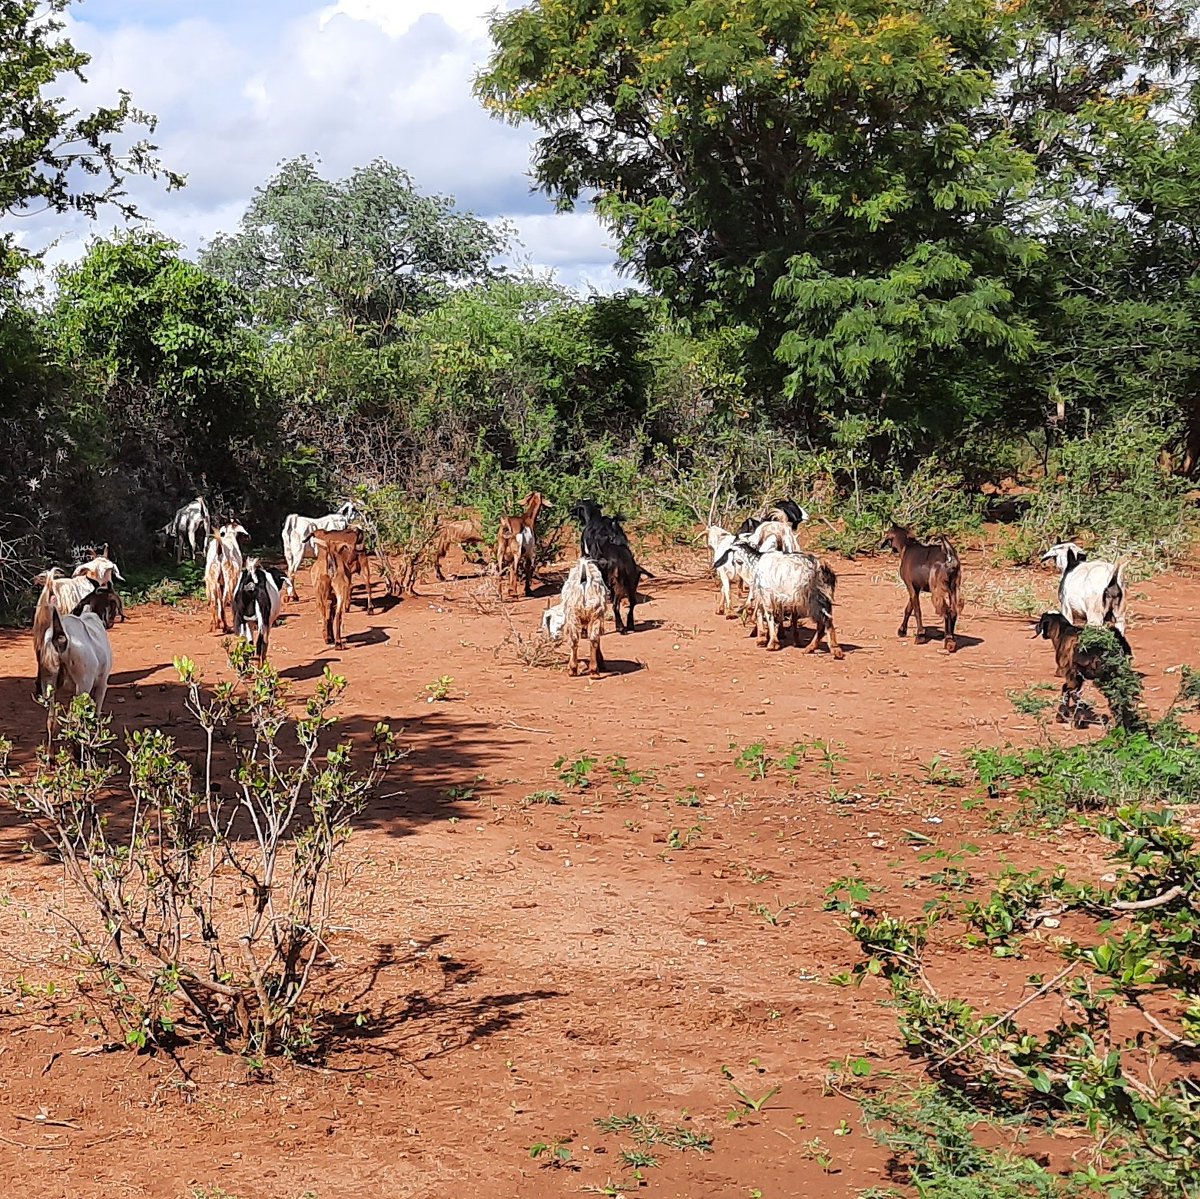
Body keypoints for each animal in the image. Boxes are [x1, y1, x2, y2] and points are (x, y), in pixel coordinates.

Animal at [34, 581, 112, 741]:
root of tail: (60, 636)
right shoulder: (102, 684)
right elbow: (96, 714)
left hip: (49, 686)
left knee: (51, 721)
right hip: (83, 686)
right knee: (76, 720)